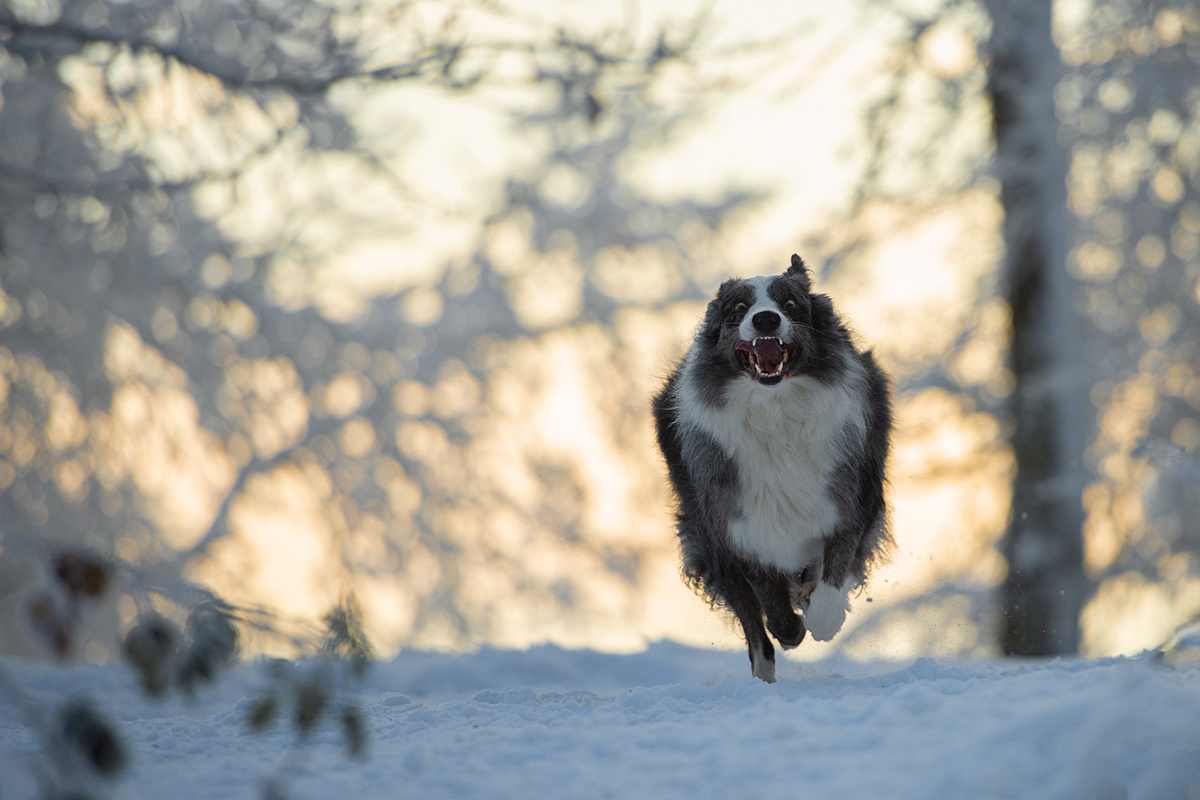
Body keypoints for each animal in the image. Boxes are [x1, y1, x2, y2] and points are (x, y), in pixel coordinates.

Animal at [648, 255, 892, 681]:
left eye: (790, 303)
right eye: (739, 307)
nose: (765, 320)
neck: (776, 409)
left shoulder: (851, 502)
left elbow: (835, 572)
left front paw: (824, 618)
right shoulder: (738, 527)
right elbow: (773, 611)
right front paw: (792, 627)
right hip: (707, 540)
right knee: (753, 625)